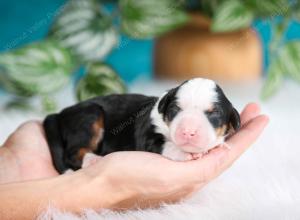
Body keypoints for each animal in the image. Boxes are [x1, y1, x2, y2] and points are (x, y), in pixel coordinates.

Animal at [43, 78, 240, 174]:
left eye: (214, 114)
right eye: (175, 110)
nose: (188, 132)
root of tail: (60, 114)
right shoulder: (147, 135)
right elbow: (164, 144)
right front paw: (184, 152)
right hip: (90, 116)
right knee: (72, 153)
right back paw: (93, 160)